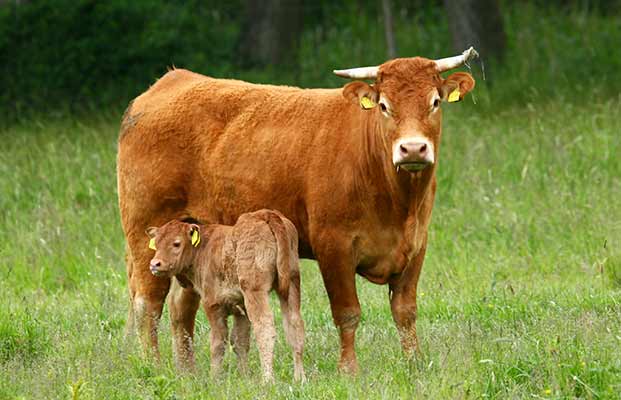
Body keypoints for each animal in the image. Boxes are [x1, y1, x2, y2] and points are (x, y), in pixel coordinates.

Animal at [143, 209, 302, 382]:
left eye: (176, 243)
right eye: (156, 244)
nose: (155, 264)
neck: (203, 248)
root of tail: (265, 215)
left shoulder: (213, 305)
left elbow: (218, 342)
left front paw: (214, 378)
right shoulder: (241, 309)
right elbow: (240, 341)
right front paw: (244, 376)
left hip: (255, 291)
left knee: (264, 328)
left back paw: (267, 380)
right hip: (291, 284)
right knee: (295, 327)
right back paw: (300, 379)